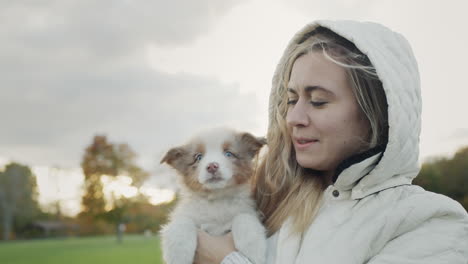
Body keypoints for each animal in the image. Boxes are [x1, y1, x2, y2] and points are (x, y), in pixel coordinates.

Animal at [160, 127, 266, 264]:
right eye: (198, 157)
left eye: (228, 154)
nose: (212, 166)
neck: (216, 199)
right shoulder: (186, 214)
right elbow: (181, 222)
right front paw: (179, 256)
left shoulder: (246, 211)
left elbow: (244, 217)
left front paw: (254, 249)